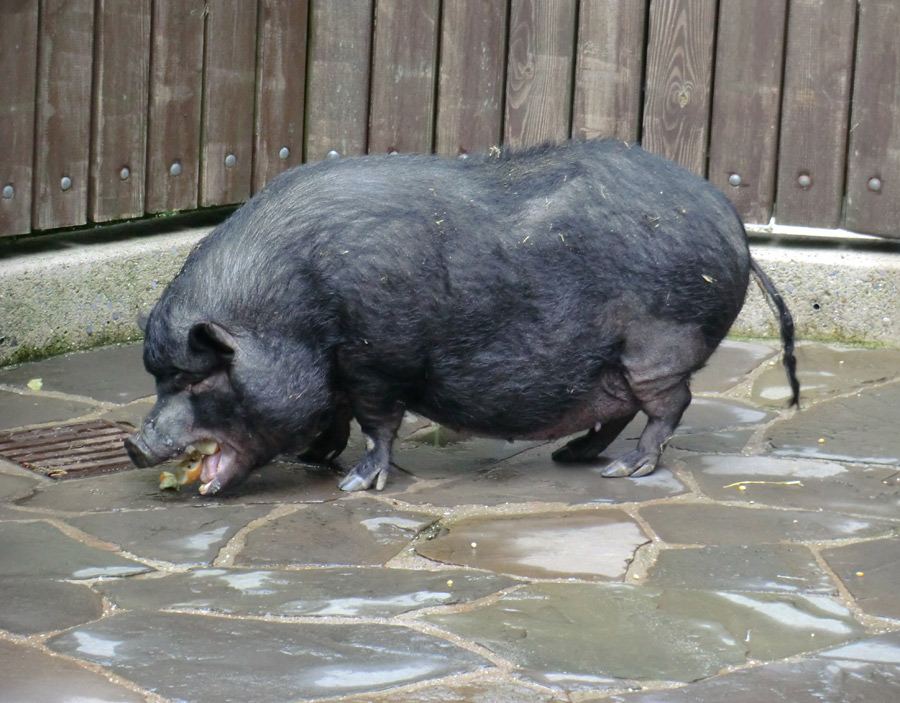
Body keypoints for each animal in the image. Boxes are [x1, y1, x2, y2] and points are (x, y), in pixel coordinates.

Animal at [123, 140, 800, 496]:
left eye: (200, 378)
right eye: (159, 378)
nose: (134, 442)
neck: (292, 319)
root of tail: (734, 227)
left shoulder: (377, 358)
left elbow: (376, 422)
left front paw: (355, 485)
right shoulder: (340, 368)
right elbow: (332, 413)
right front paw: (314, 459)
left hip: (657, 346)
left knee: (669, 404)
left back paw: (625, 469)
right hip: (609, 362)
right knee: (616, 408)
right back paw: (573, 456)